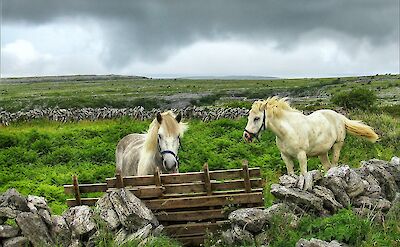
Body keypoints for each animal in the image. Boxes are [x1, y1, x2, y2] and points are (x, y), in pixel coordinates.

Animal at [244, 96, 378, 176]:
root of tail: (340, 117)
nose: (246, 136)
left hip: (337, 147)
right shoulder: (286, 157)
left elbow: (304, 174)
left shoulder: (302, 156)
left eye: (257, 118)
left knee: (333, 165)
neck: (287, 131)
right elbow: (291, 174)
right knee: (327, 167)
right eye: (249, 117)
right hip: (322, 152)